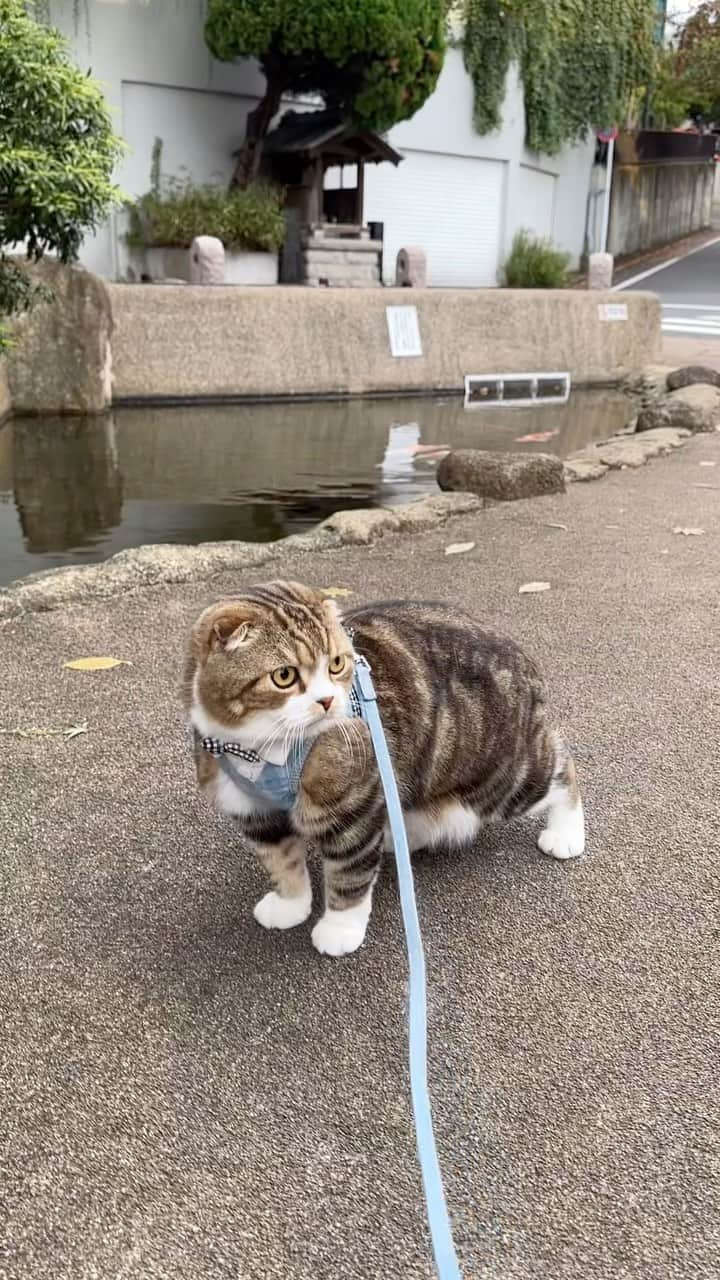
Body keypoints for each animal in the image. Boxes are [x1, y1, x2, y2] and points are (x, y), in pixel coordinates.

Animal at [183, 586, 584, 957]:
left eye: (336, 664)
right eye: (284, 676)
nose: (327, 701)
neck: (263, 751)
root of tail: (521, 658)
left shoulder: (350, 806)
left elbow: (348, 873)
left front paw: (340, 928)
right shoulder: (253, 811)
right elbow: (281, 862)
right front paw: (290, 904)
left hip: (499, 778)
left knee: (560, 772)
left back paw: (565, 832)